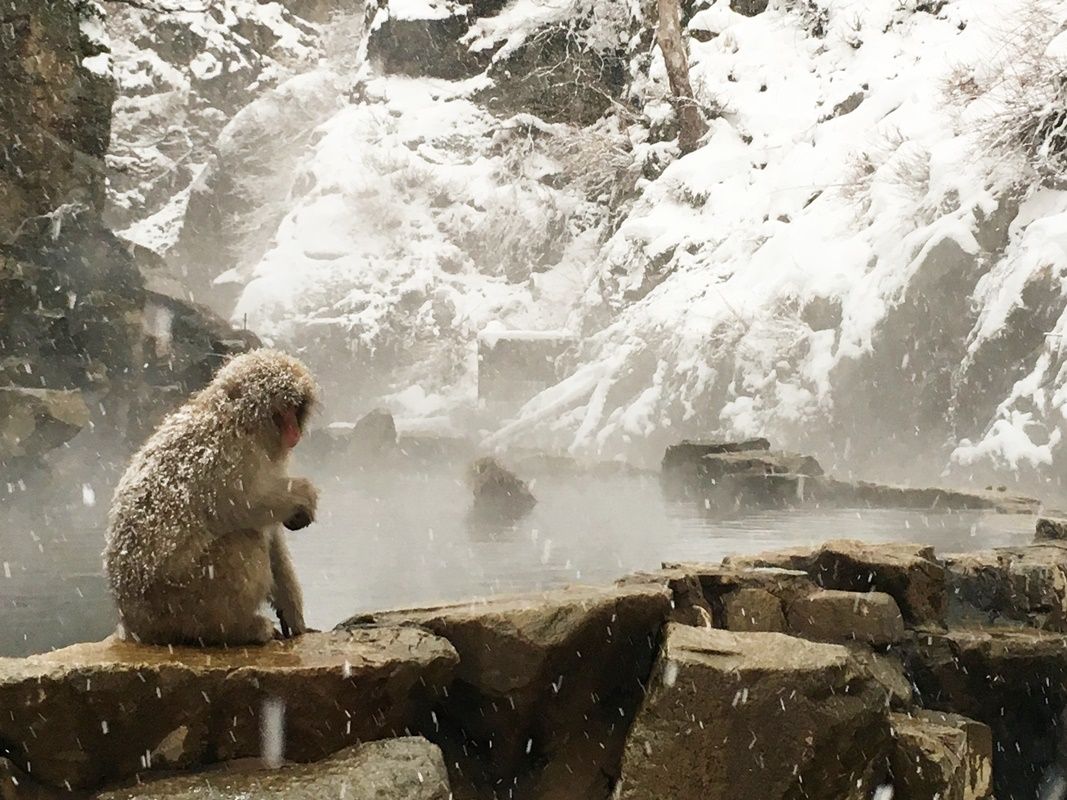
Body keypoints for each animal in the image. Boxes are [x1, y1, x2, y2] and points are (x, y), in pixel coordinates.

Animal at [103, 348, 319, 646]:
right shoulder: (229, 454)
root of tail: (129, 622)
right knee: (245, 541)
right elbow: (244, 504)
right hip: (178, 600)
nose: (294, 432)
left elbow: (272, 533)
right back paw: (234, 630)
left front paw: (293, 613)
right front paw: (303, 495)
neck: (238, 420)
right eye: (280, 412)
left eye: (295, 409)